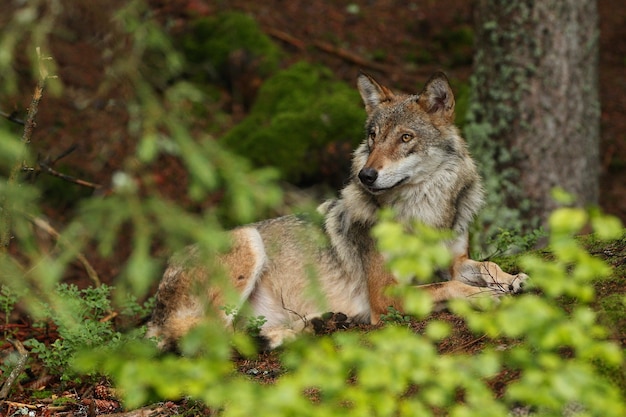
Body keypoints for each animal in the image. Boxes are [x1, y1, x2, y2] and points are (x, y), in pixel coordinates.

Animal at [147, 72, 528, 352]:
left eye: (405, 138)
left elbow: (484, 266)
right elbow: (451, 286)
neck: (426, 214)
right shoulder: (385, 297)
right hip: (247, 242)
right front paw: (486, 295)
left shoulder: (455, 259)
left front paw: (514, 279)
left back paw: (306, 326)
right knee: (203, 339)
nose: (366, 175)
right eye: (373, 136)